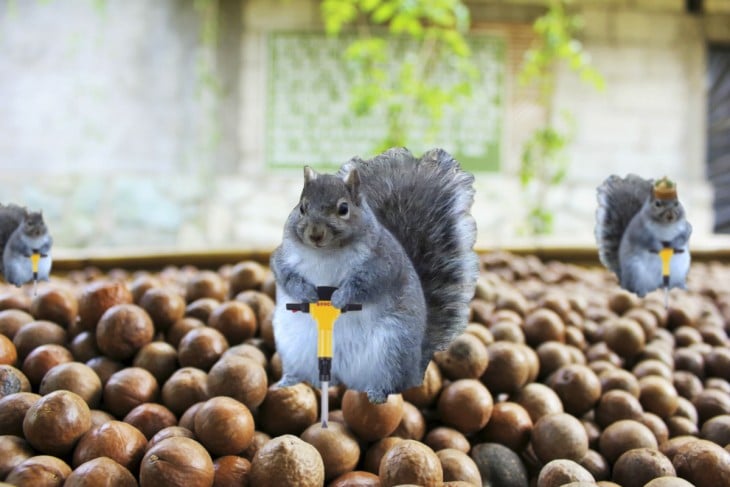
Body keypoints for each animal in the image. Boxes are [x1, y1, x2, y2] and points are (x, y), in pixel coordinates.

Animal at [268, 148, 478, 404]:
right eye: (302, 208)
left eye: (343, 209)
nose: (315, 234)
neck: (326, 252)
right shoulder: (283, 257)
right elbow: (285, 275)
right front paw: (306, 292)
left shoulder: (382, 263)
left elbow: (365, 285)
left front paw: (339, 298)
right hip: (294, 346)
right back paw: (289, 382)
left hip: (392, 347)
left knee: (393, 382)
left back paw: (377, 393)